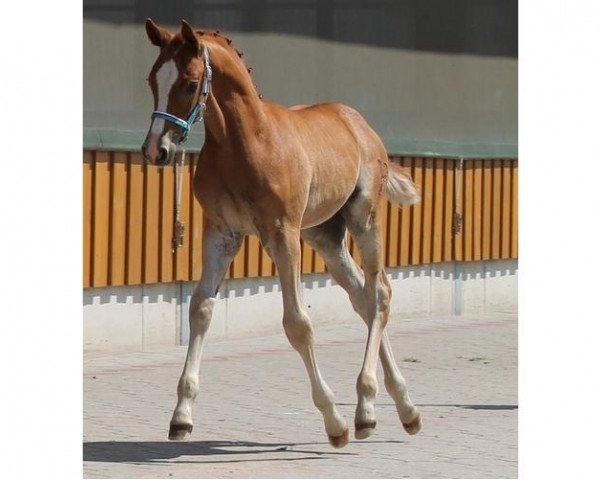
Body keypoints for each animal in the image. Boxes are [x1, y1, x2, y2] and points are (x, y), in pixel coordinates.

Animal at [142, 18, 422, 446]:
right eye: (152, 80)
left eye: (189, 84)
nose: (156, 150)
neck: (243, 143)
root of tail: (359, 123)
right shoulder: (221, 232)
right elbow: (200, 309)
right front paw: (181, 416)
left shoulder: (282, 233)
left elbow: (298, 324)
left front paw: (334, 422)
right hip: (325, 235)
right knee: (363, 297)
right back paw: (397, 409)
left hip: (364, 218)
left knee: (379, 294)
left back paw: (366, 409)